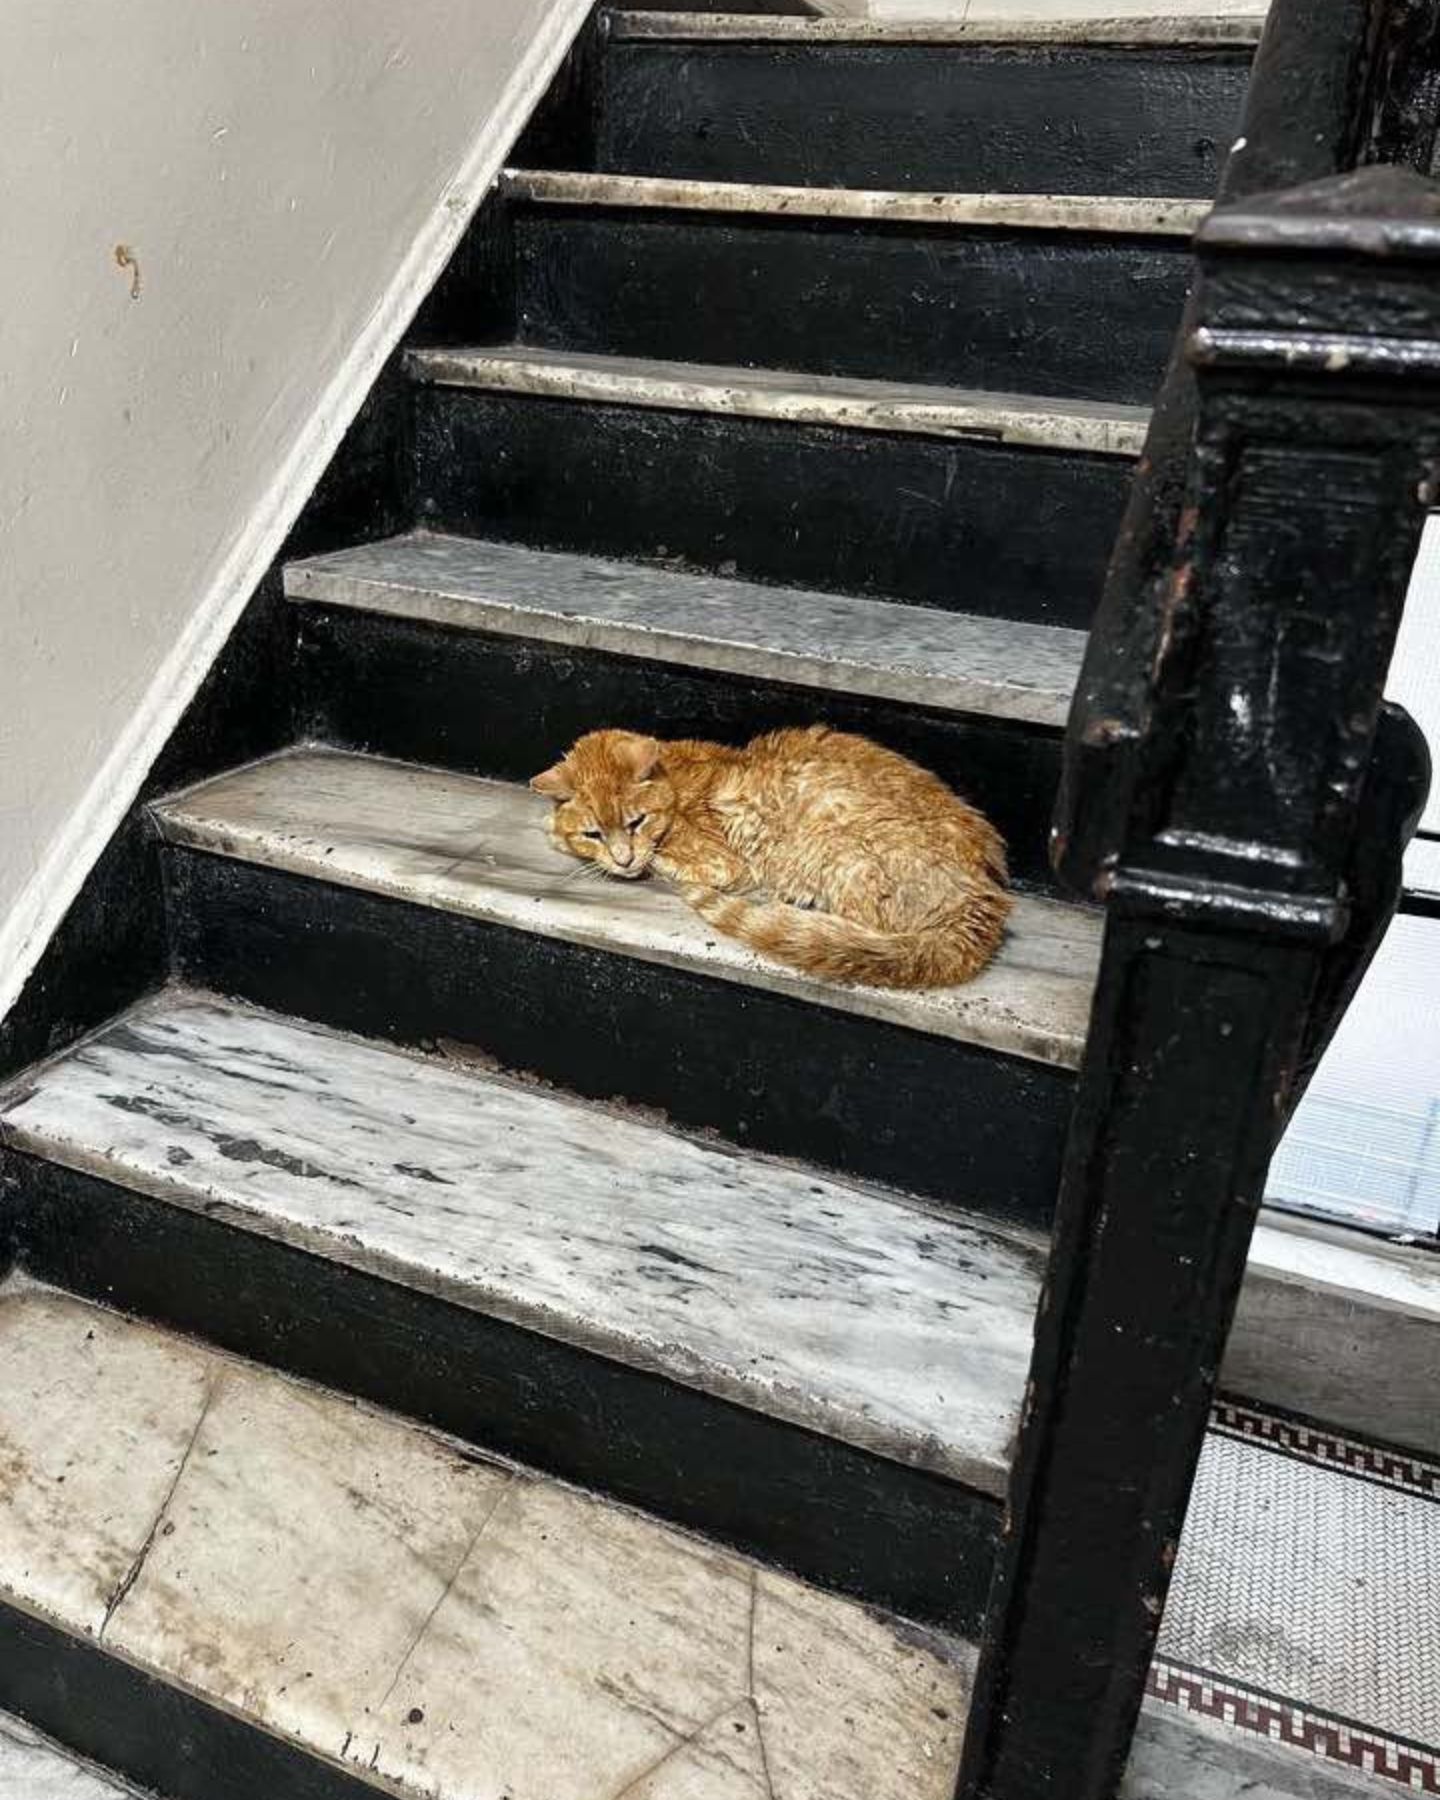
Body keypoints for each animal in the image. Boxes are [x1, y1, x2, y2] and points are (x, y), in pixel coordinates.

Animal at [532, 723, 1015, 993]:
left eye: (637, 822)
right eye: (594, 833)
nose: (623, 859)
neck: (675, 783)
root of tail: (983, 900)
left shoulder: (720, 861)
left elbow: (668, 863)